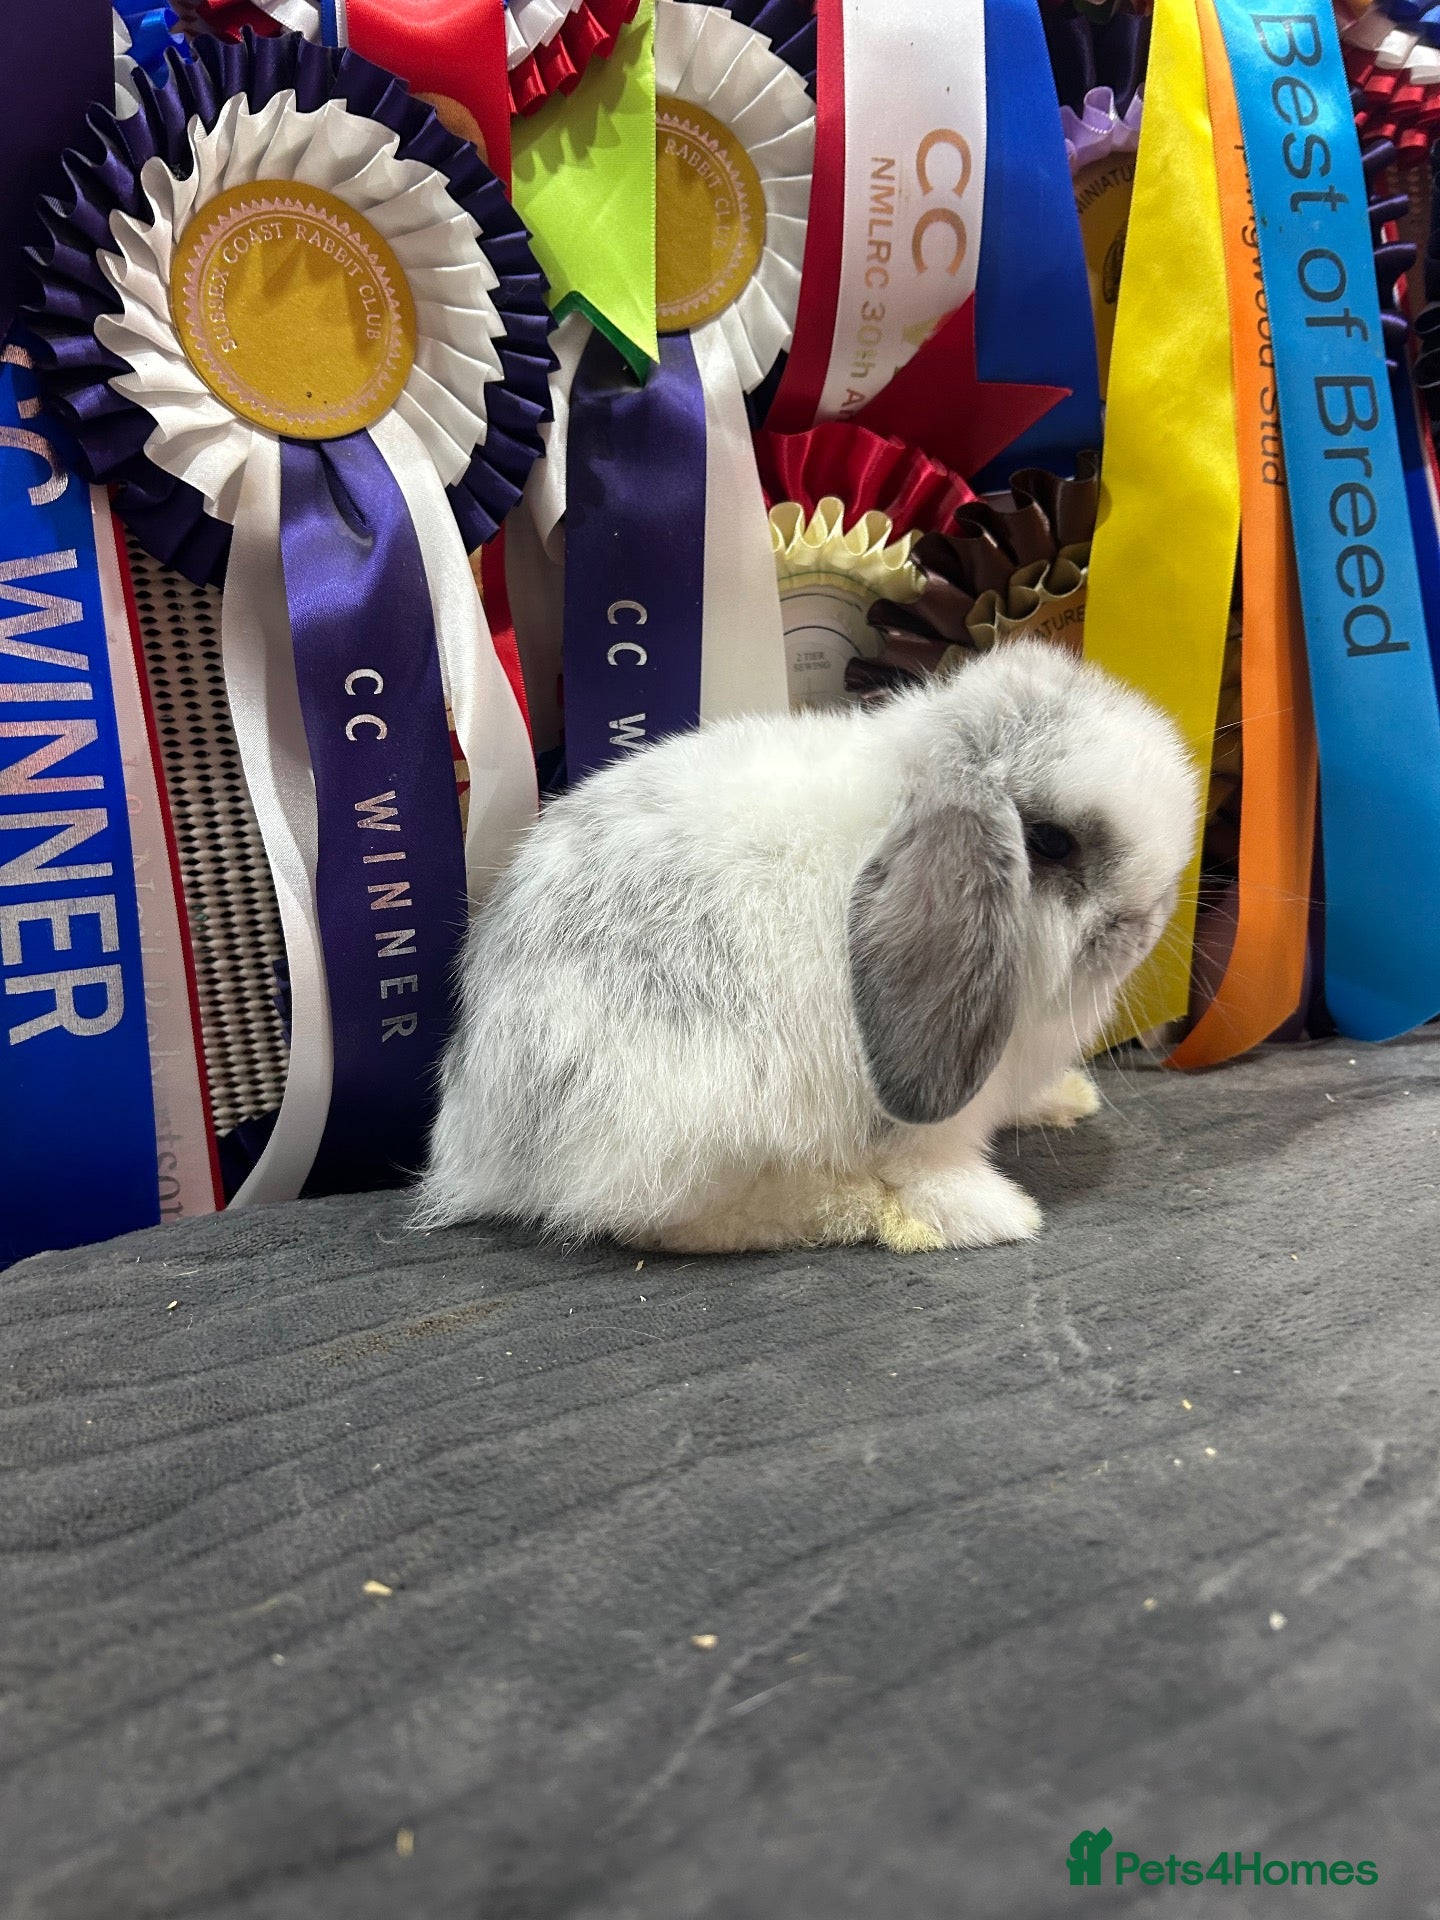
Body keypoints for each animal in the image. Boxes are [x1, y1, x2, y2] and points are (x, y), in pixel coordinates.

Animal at [418, 640, 1200, 1254]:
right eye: (1050, 842)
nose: (1146, 922)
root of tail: (479, 1140)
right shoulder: (919, 1124)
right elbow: (934, 1174)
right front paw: (998, 1215)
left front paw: (1065, 1099)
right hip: (685, 1119)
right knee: (650, 1220)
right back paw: (837, 1209)